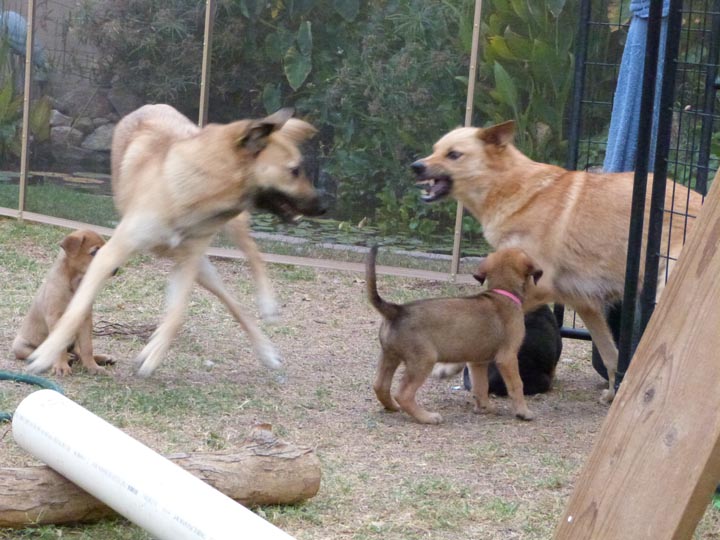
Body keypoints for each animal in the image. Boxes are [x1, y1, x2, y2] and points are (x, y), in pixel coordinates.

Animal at [366, 246, 540, 426]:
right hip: (423, 361)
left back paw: (392, 407)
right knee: (403, 394)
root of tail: (396, 310)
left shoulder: (477, 362)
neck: (502, 292)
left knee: (380, 385)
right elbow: (517, 385)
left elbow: (481, 386)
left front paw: (485, 408)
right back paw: (427, 417)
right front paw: (523, 412)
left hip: (389, 356)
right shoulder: (508, 357)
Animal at [410, 121, 704, 400]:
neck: (511, 187)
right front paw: (612, 394)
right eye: (435, 149)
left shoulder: (535, 289)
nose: (415, 166)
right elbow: (610, 355)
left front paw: (449, 367)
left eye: (454, 154)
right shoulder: (584, 303)